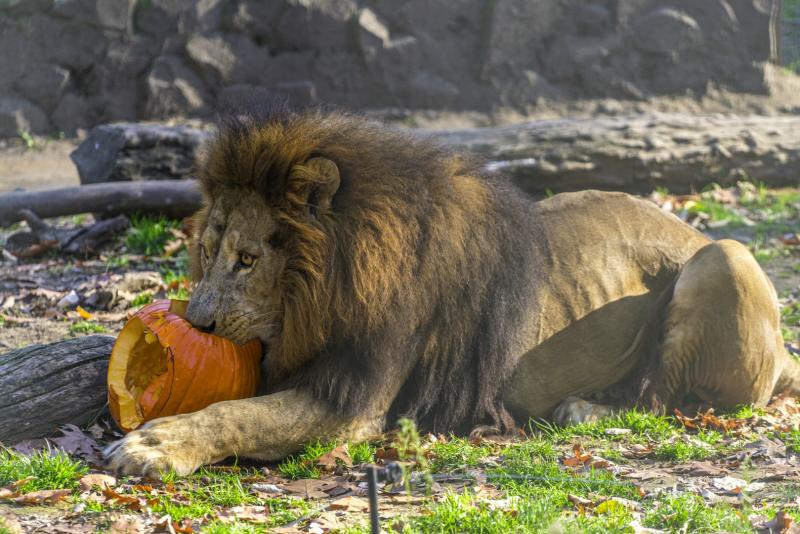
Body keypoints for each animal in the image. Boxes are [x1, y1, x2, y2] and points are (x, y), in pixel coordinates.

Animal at [103, 104, 800, 478]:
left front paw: (153, 446)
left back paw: (583, 409)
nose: (198, 323)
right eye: (206, 252)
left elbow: (238, 415)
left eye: (247, 261)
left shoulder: (357, 400)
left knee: (669, 400)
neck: (321, 291)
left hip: (725, 258)